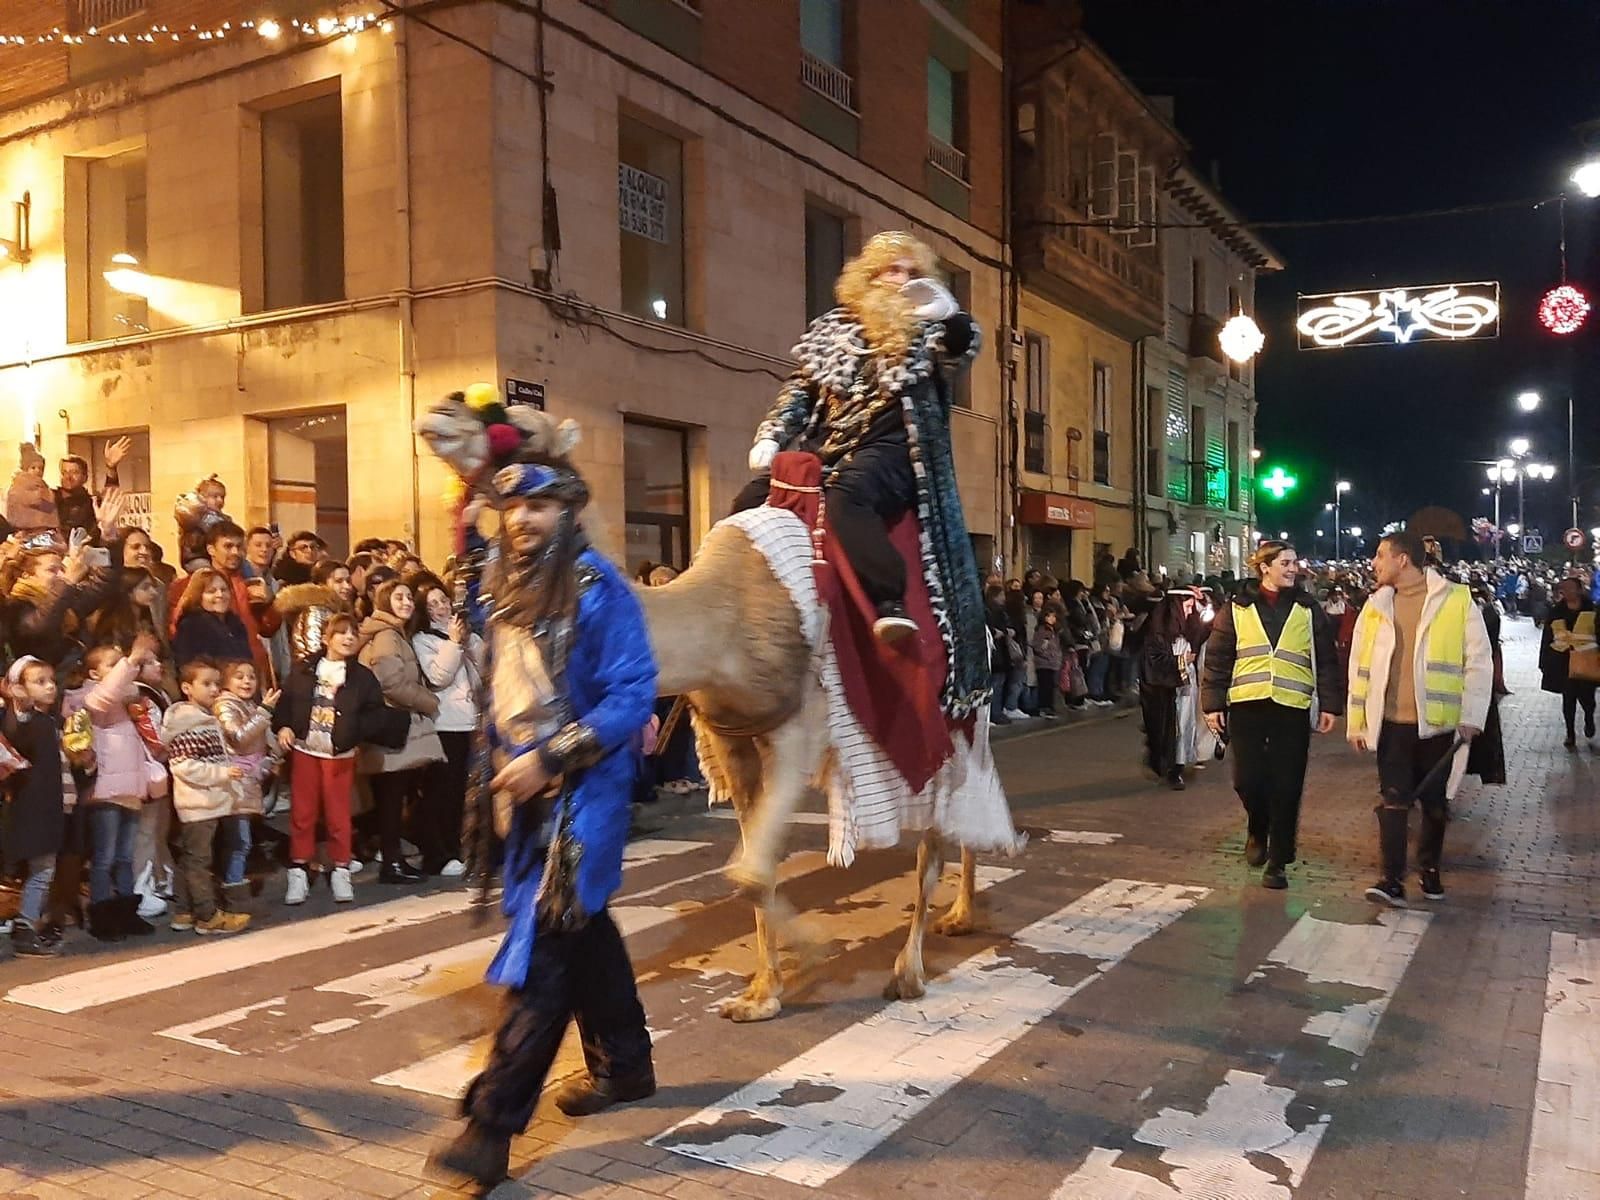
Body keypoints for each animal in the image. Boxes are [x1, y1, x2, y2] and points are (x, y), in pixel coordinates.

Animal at [412, 395, 985, 1024]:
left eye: (517, 425)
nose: (441, 411)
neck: (717, 626)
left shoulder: (797, 730)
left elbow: (749, 868)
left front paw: (815, 952)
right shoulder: (732, 736)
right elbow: (754, 871)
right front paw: (763, 993)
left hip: (957, 722)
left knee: (943, 832)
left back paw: (919, 959)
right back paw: (955, 919)